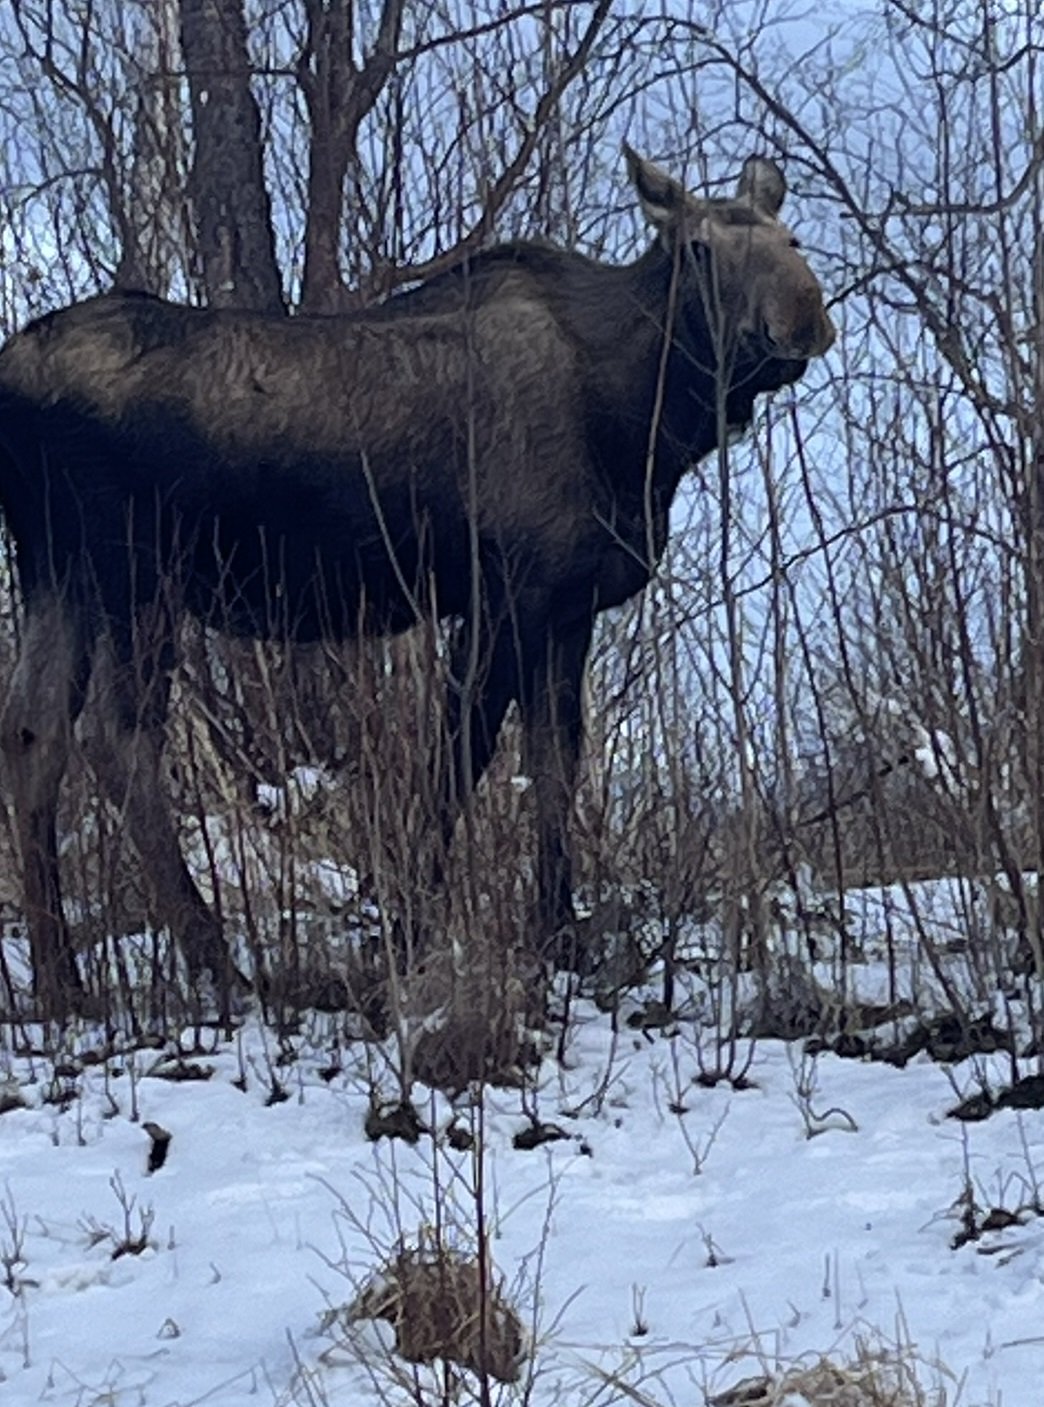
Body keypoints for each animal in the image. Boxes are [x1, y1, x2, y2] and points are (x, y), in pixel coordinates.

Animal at [0, 145, 832, 1013]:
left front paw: (560, 940)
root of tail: (13, 377)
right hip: (136, 571)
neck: (646, 424)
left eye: (792, 237)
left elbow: (555, 767)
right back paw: (218, 967)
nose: (802, 315)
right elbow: (458, 762)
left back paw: (63, 983)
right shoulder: (505, 591)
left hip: (58, 570)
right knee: (117, 738)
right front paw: (408, 932)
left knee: (32, 731)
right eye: (699, 247)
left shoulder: (568, 607)